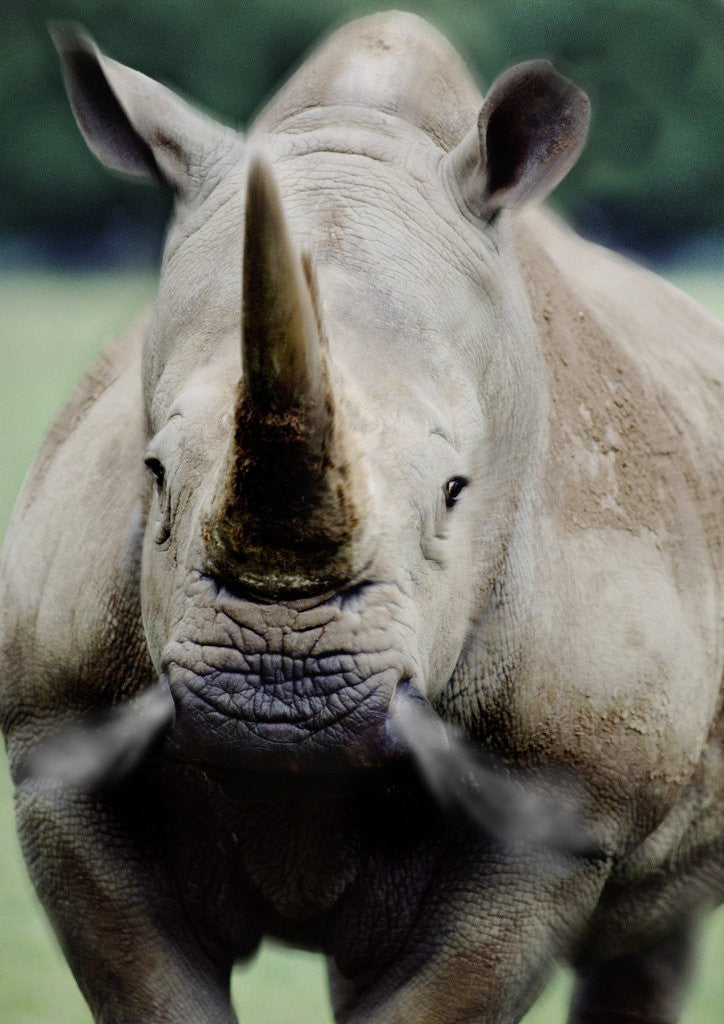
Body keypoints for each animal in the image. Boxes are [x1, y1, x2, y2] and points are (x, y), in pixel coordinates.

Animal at [1, 11, 722, 1024]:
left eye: (457, 491)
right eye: (151, 473)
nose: (276, 705)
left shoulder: (567, 813)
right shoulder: (53, 760)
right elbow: (155, 992)